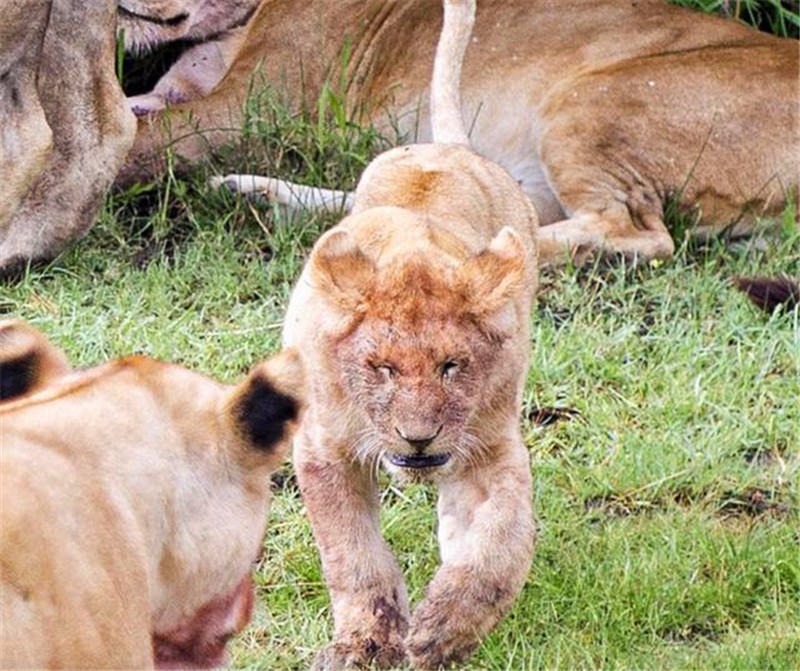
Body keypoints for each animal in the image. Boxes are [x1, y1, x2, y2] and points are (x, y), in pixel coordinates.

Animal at [282, 2, 536, 668]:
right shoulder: (322, 450)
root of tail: (445, 146)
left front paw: (443, 630)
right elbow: (353, 555)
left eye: (452, 366)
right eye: (383, 369)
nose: (418, 439)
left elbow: (501, 541)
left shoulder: (492, 444)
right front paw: (365, 642)